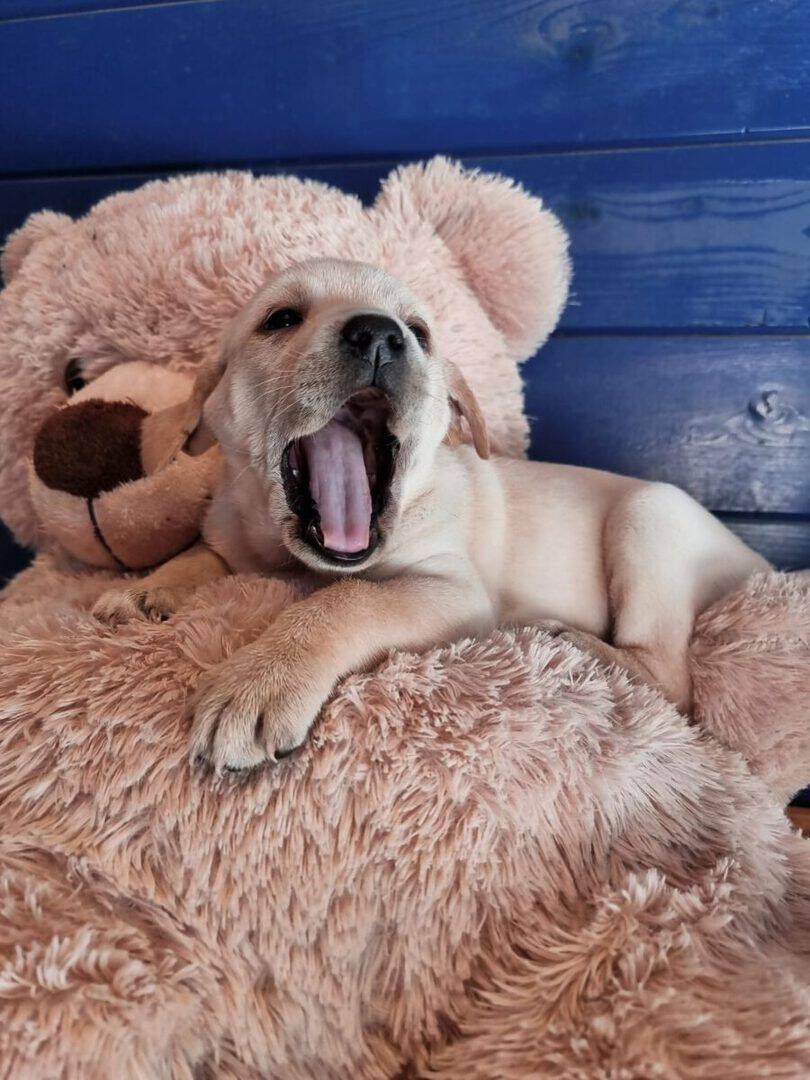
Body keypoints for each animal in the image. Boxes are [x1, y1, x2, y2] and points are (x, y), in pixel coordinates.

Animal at [94, 258, 770, 771]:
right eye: (280, 319)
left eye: (418, 332)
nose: (379, 333)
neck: (289, 551)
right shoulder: (229, 537)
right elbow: (196, 555)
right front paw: (146, 591)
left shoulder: (450, 589)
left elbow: (343, 601)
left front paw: (260, 679)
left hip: (649, 514)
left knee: (672, 682)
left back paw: (577, 642)